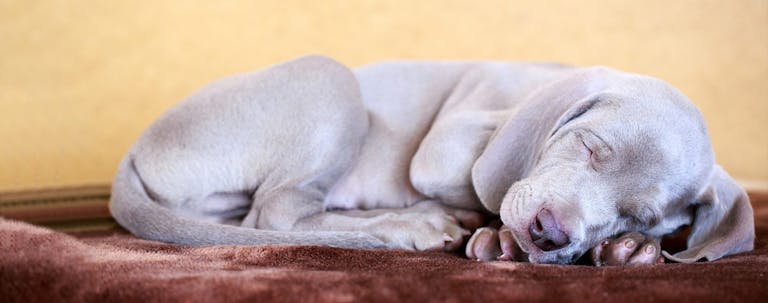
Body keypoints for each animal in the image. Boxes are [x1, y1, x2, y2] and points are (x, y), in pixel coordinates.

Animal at [109, 55, 756, 266]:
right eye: (590, 146)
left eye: (637, 217)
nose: (548, 234)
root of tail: (135, 151)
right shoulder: (447, 143)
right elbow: (479, 175)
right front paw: (496, 233)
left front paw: (627, 249)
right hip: (330, 76)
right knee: (277, 214)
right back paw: (412, 224)